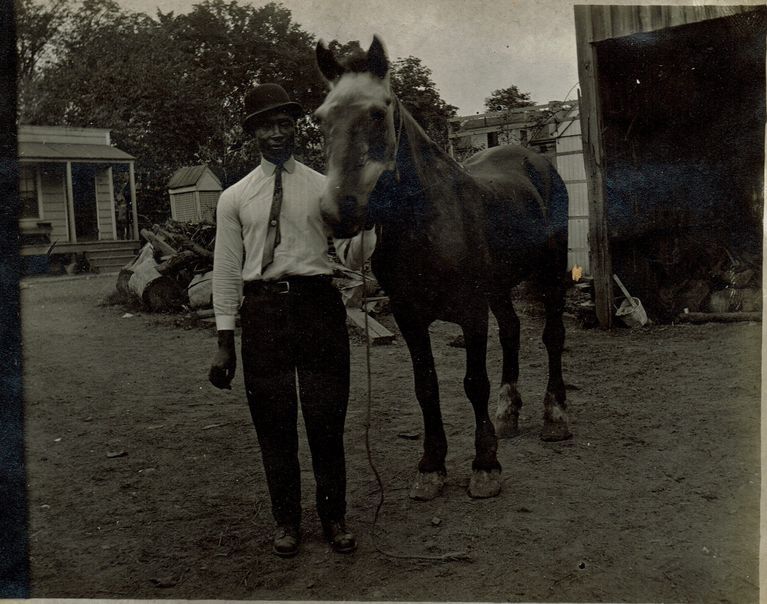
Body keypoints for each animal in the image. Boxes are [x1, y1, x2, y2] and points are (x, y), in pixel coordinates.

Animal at [315, 36, 572, 500]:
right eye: (321, 119)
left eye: (377, 112)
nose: (338, 213)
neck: (427, 224)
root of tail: (536, 159)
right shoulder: (409, 317)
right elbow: (426, 387)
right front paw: (431, 467)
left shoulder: (471, 312)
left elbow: (474, 383)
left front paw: (485, 466)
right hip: (499, 288)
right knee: (511, 331)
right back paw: (508, 413)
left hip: (551, 273)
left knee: (552, 336)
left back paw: (555, 417)